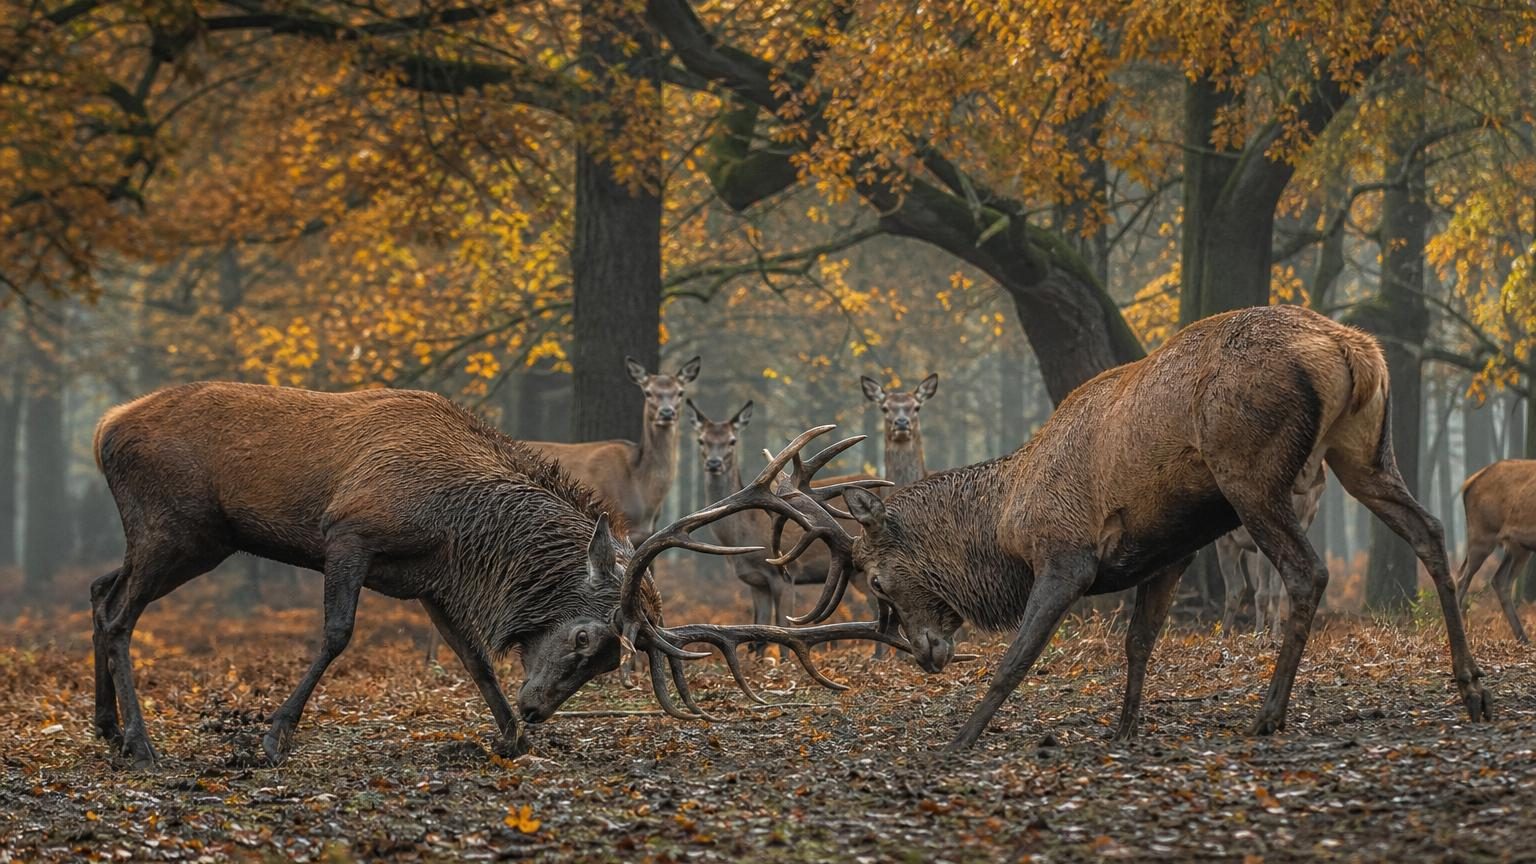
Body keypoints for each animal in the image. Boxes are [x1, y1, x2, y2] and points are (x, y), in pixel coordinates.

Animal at [90, 380, 904, 769]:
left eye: (609, 665)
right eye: (585, 641)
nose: (540, 709)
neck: (460, 526)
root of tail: (103, 428)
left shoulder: (430, 581)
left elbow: (475, 657)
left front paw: (511, 736)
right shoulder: (351, 530)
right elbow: (336, 635)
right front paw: (274, 738)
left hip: (182, 536)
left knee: (100, 592)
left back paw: (108, 730)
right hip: (178, 525)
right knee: (121, 612)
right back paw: (142, 744)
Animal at [1215, 462, 1327, 638]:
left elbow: (1277, 592)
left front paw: (1276, 635)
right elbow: (1262, 594)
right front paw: (1259, 635)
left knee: (1239, 585)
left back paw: (1225, 636)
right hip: (1225, 541)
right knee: (1235, 587)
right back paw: (1223, 636)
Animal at [1455, 459, 1536, 644]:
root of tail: (1468, 484)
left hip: (1518, 547)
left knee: (1500, 580)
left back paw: (1523, 638)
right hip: (1482, 535)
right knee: (1463, 577)